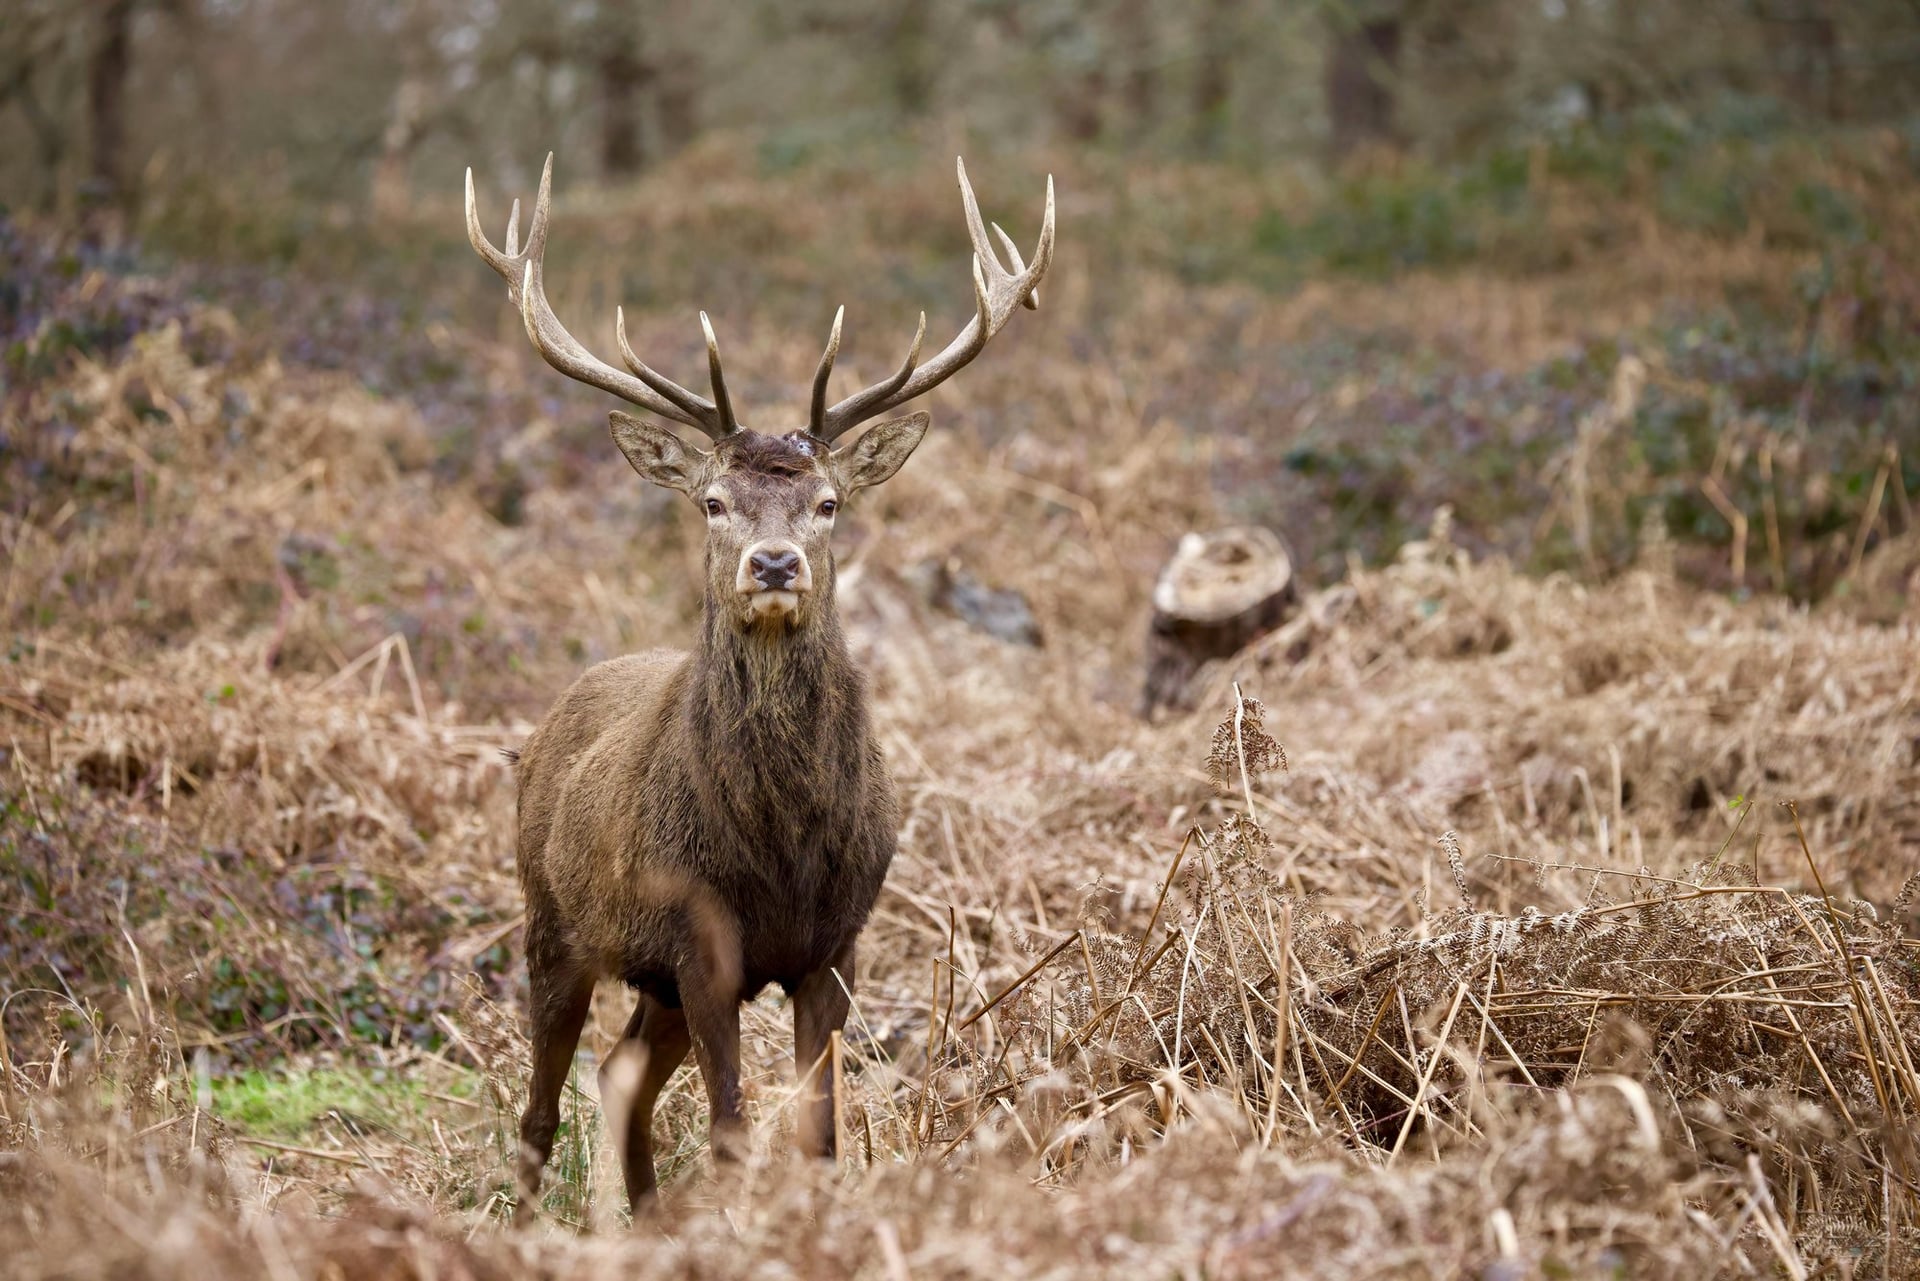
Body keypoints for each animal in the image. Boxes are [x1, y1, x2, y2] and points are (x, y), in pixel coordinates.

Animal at [463, 153, 1054, 1222]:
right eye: (712, 501)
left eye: (828, 503)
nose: (775, 563)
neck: (780, 848)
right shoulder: (703, 941)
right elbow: (735, 1131)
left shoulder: (836, 944)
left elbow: (821, 1132)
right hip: (550, 919)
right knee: (542, 1103)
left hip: (647, 978)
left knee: (620, 1074)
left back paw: (648, 1222)